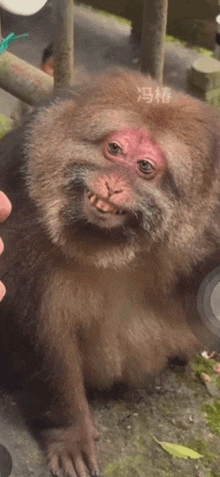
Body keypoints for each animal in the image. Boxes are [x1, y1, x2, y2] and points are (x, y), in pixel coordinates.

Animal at [0, 68, 220, 476]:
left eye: (145, 167)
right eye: (114, 150)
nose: (112, 184)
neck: (112, 246)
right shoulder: (21, 201)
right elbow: (33, 320)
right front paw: (70, 430)